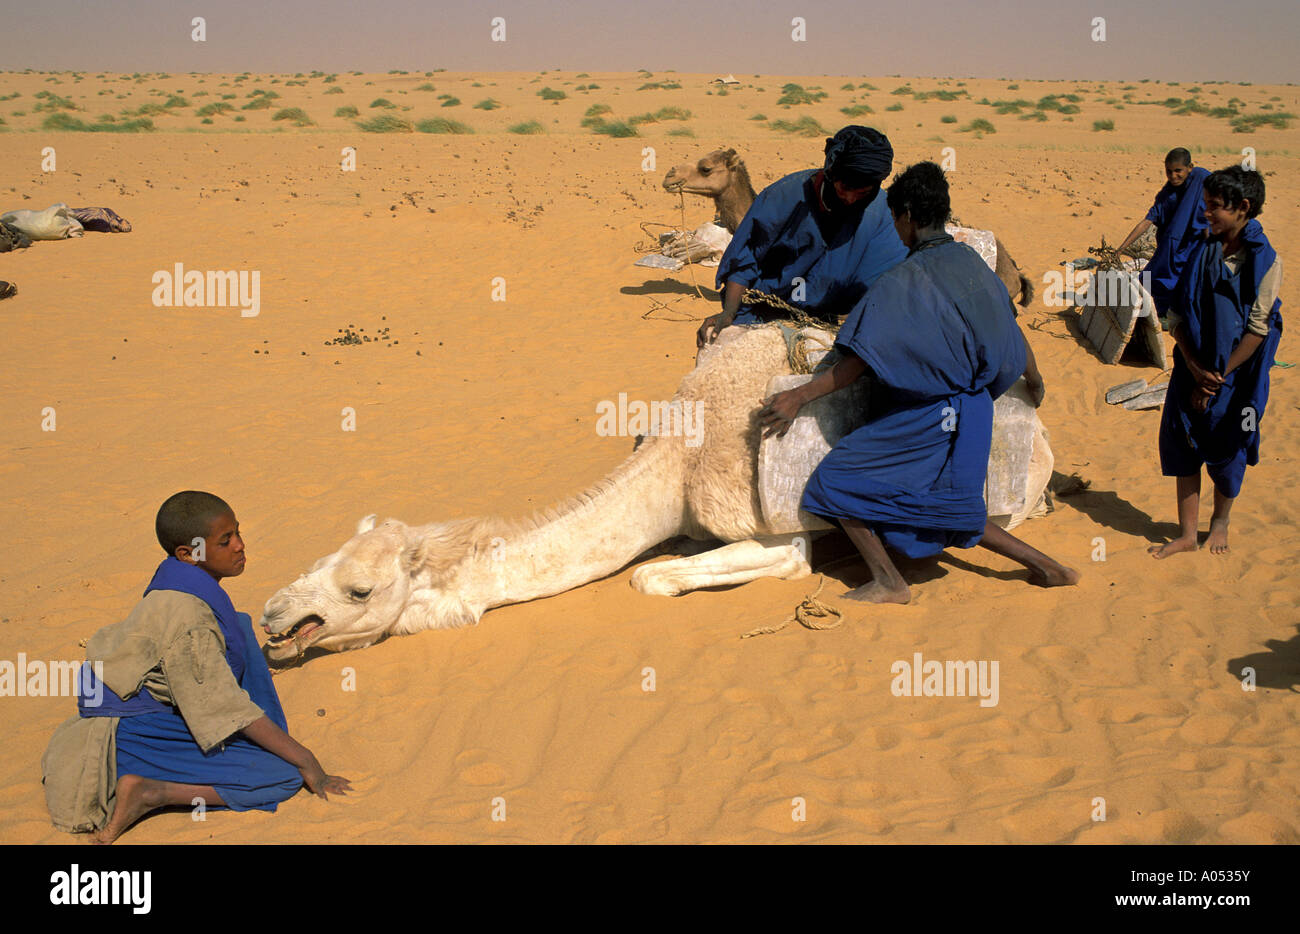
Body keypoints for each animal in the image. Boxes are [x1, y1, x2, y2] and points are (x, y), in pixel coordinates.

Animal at [258, 325, 1050, 663]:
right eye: (317, 560)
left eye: (359, 591)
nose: (272, 614)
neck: (679, 457)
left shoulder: (776, 532)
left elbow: (655, 576)